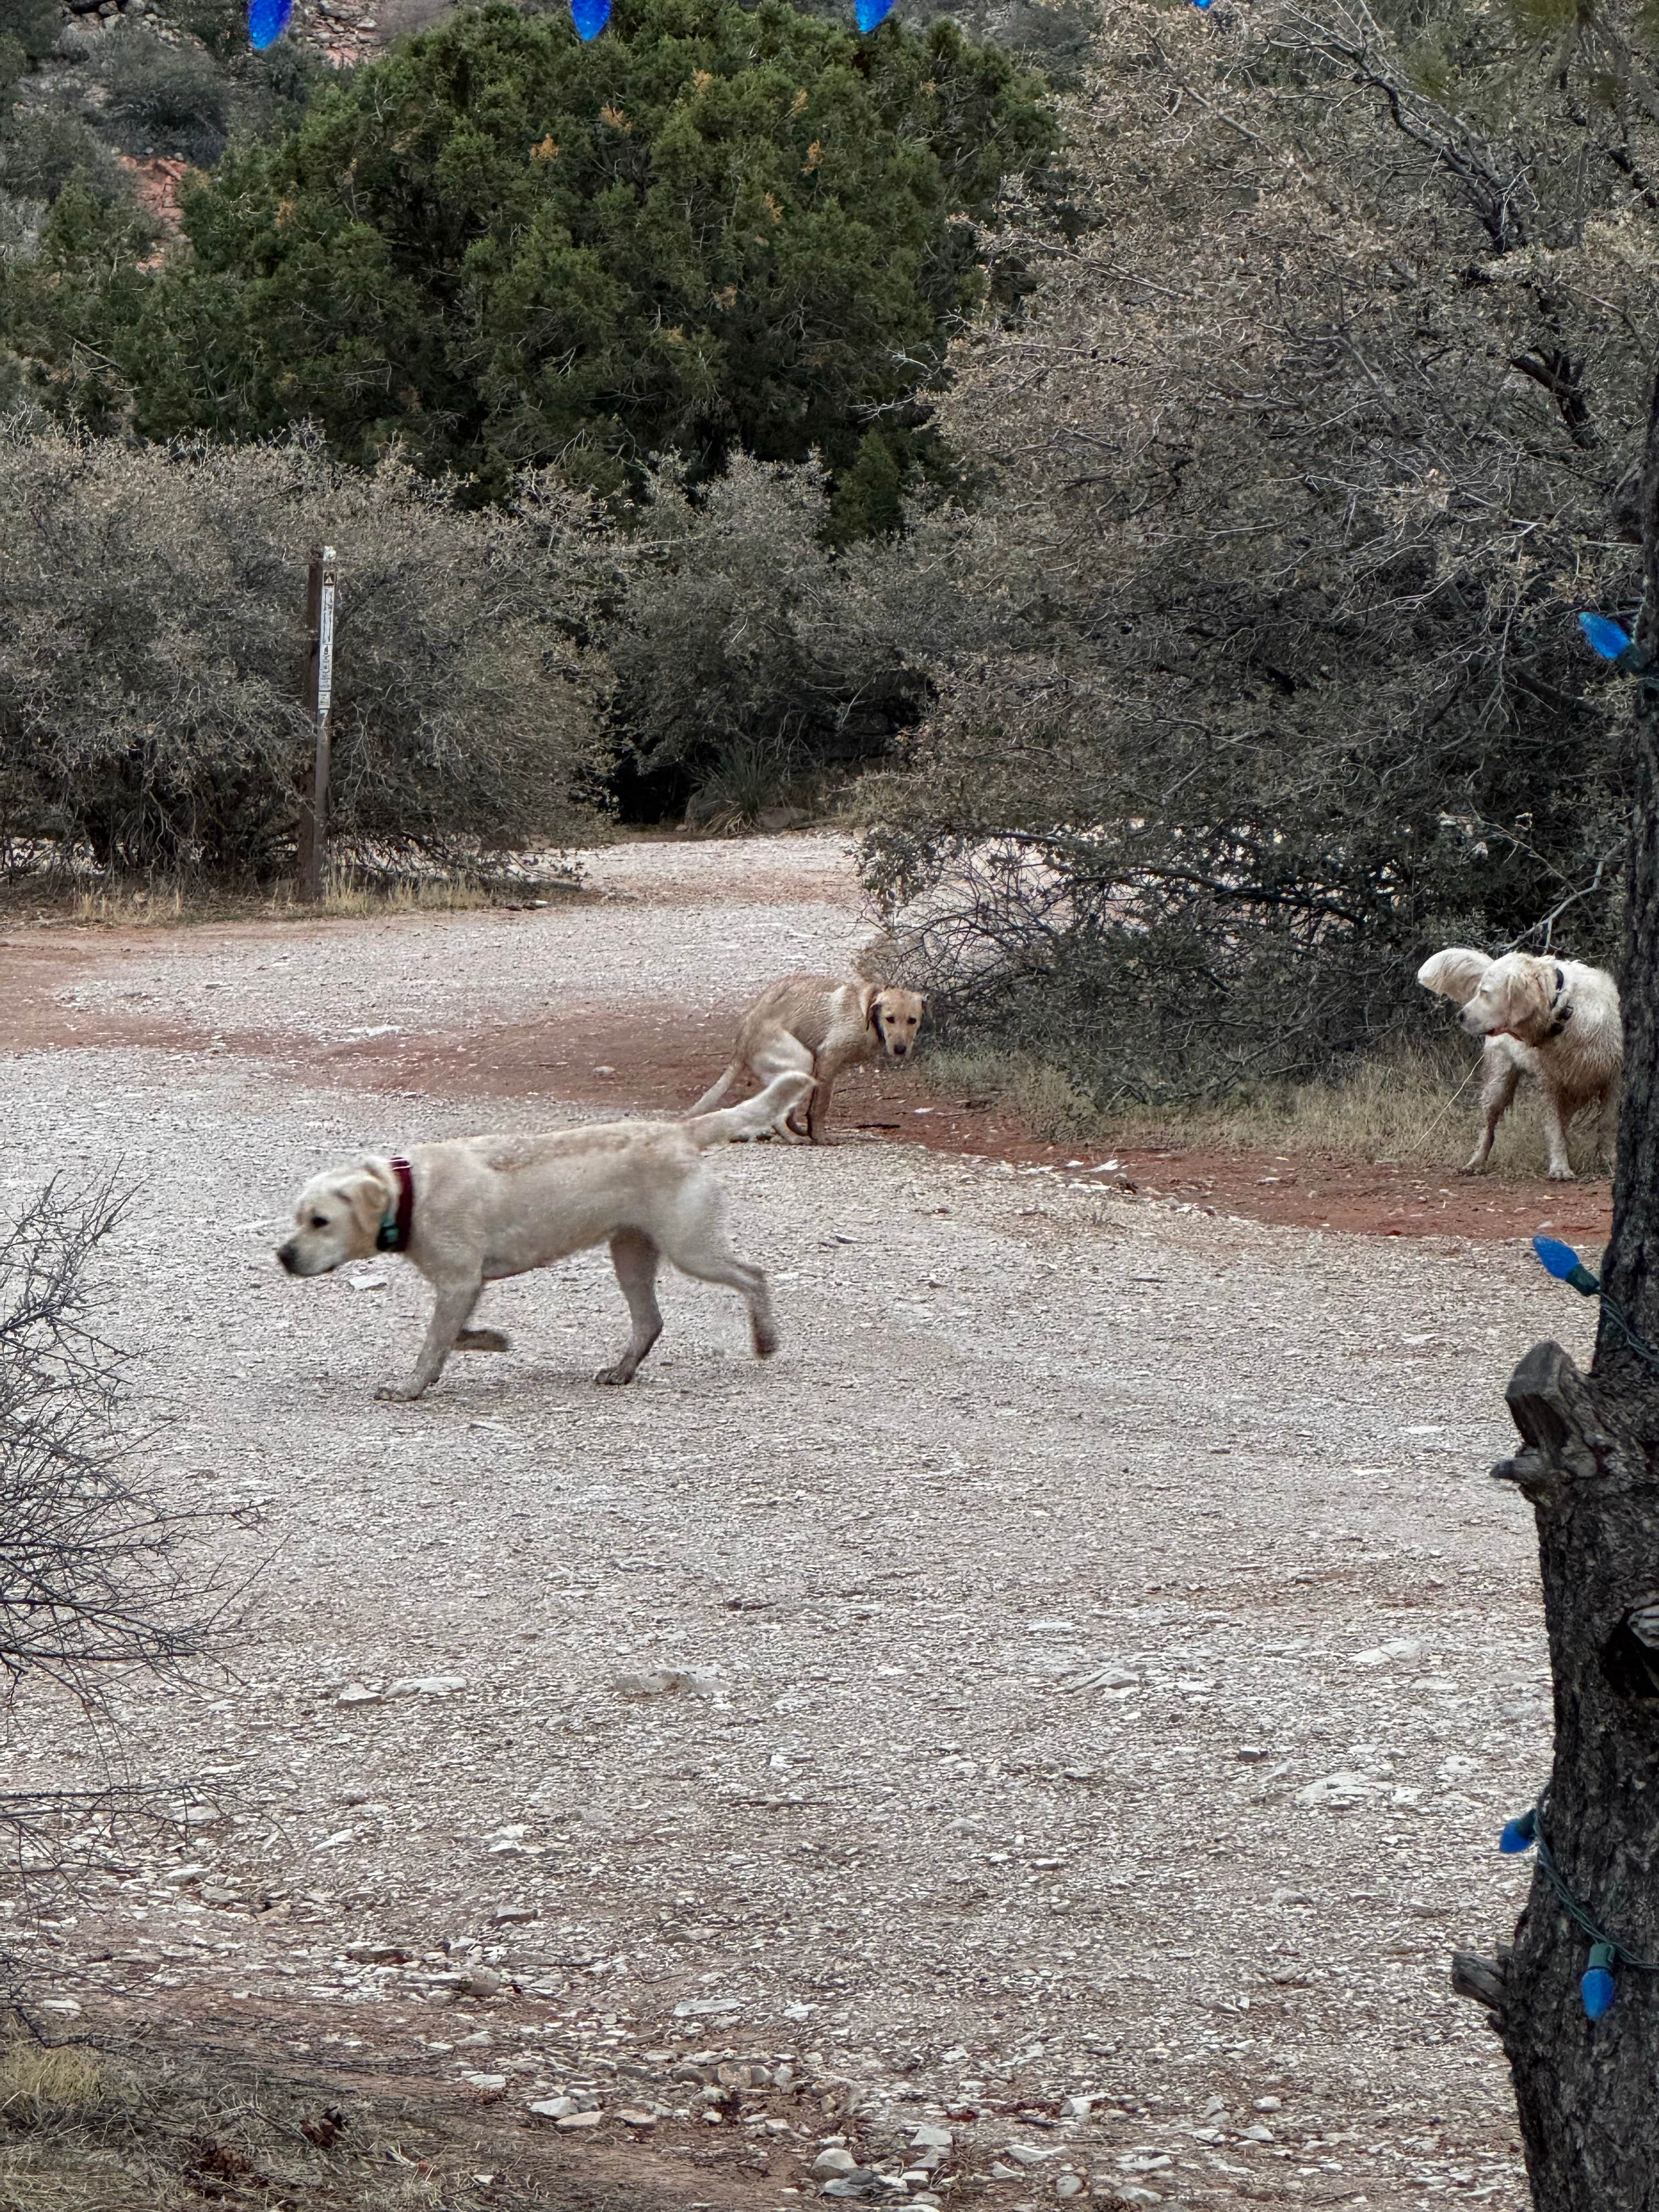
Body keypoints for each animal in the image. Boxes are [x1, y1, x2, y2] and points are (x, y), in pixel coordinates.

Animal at [280, 1070, 814, 1398]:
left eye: (320, 1221)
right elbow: (455, 1336)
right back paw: (622, 1370)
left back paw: (766, 1340)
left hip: (692, 1250)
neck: (409, 1194)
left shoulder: (458, 1283)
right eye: (297, 1218)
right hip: (631, 1255)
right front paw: (492, 1341)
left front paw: (411, 1388)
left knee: (754, 1276)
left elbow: (434, 1344)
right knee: (650, 1322)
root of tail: (681, 1133)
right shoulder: (464, 1287)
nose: (283, 1256)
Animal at [1424, 951, 1628, 1194]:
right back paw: (1476, 1162)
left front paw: (1610, 1161)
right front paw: (1560, 1167)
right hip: (1498, 1083)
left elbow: (1607, 1124)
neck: (1564, 1011)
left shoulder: (1612, 1079)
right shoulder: (1549, 1084)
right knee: (1487, 1128)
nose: (1460, 1016)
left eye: (1485, 993)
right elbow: (1554, 1130)